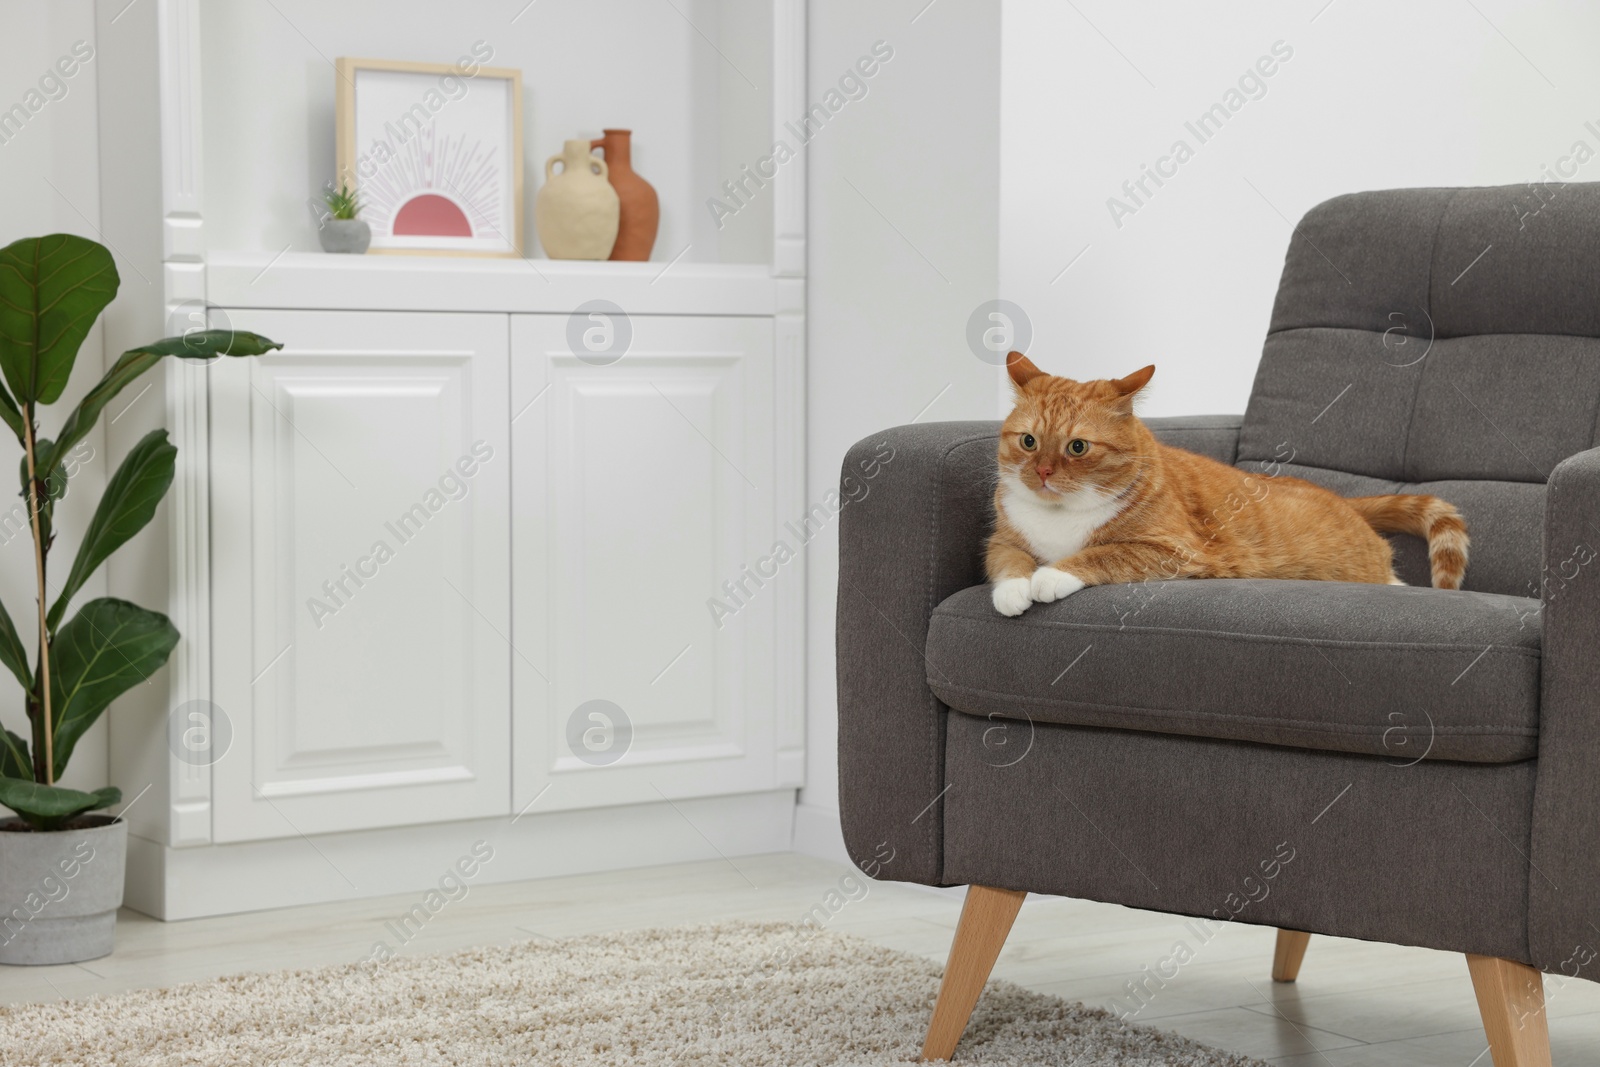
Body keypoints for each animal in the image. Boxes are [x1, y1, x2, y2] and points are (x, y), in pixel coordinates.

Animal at [985, 351, 1472, 617]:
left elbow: (1104, 553)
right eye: (1029, 441)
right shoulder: (1002, 538)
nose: (1042, 472)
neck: (1060, 518)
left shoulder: (1176, 551)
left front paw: (1051, 575)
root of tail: (1346, 501)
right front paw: (1013, 590)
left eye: (1078, 447)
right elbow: (1007, 560)